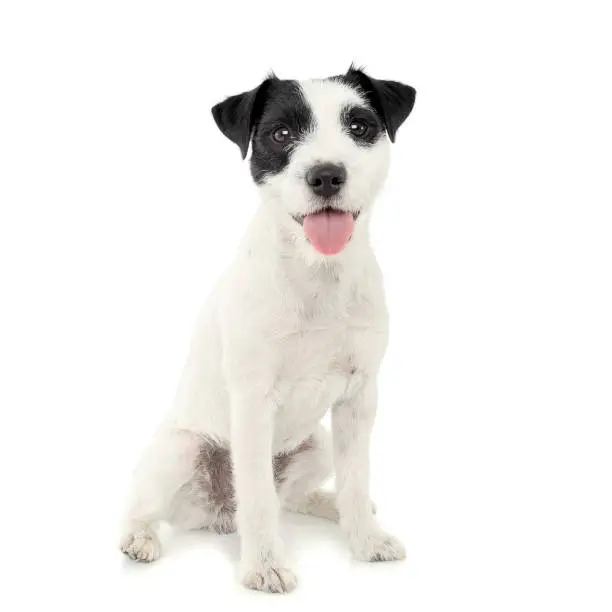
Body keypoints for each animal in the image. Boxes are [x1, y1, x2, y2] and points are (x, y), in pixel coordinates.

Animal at [119, 63, 416, 592]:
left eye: (359, 126)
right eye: (280, 134)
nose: (326, 174)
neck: (317, 273)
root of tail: (217, 515)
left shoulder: (359, 398)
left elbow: (356, 478)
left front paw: (364, 538)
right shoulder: (254, 402)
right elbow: (257, 496)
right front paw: (263, 565)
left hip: (317, 445)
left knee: (292, 497)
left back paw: (329, 504)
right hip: (182, 447)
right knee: (144, 509)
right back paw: (141, 539)